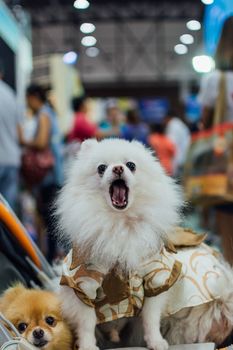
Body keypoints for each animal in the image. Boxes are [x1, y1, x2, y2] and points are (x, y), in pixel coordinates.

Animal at [57, 138, 233, 350]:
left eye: (131, 165)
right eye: (101, 168)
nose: (118, 168)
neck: (120, 222)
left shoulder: (155, 278)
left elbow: (151, 318)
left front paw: (156, 341)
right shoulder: (83, 283)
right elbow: (86, 323)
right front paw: (87, 346)